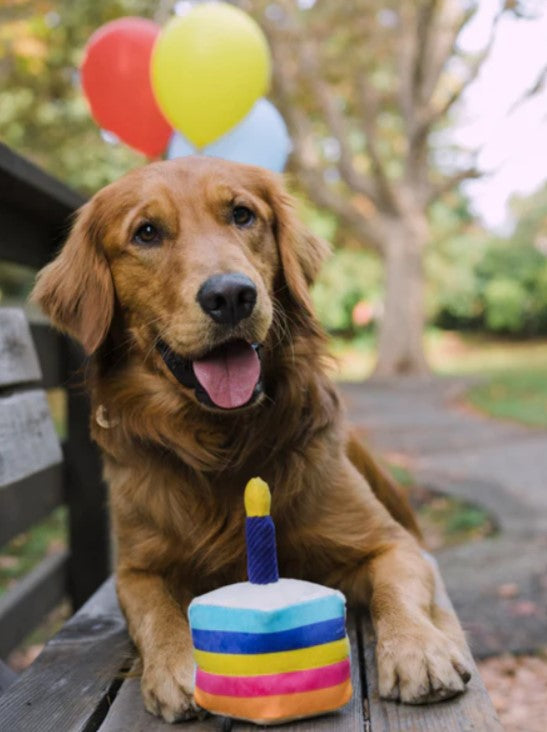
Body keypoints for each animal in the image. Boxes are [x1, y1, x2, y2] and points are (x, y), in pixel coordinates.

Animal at [33, 157, 470, 724]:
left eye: (242, 215)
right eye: (146, 232)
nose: (231, 296)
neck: (222, 442)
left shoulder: (393, 544)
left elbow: (397, 589)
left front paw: (418, 648)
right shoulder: (135, 571)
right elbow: (156, 612)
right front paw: (179, 665)